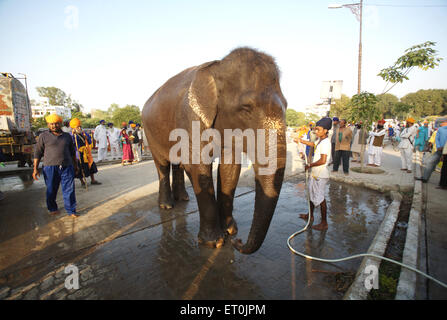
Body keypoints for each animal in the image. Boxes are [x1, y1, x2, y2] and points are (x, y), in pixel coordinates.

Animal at [144, 47, 290, 254]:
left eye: (286, 105)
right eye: (246, 108)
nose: (239, 242)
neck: (217, 67)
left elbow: (230, 167)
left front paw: (230, 230)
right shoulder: (191, 118)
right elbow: (198, 167)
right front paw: (214, 242)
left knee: (178, 164)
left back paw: (183, 199)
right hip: (150, 133)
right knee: (163, 165)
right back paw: (166, 206)